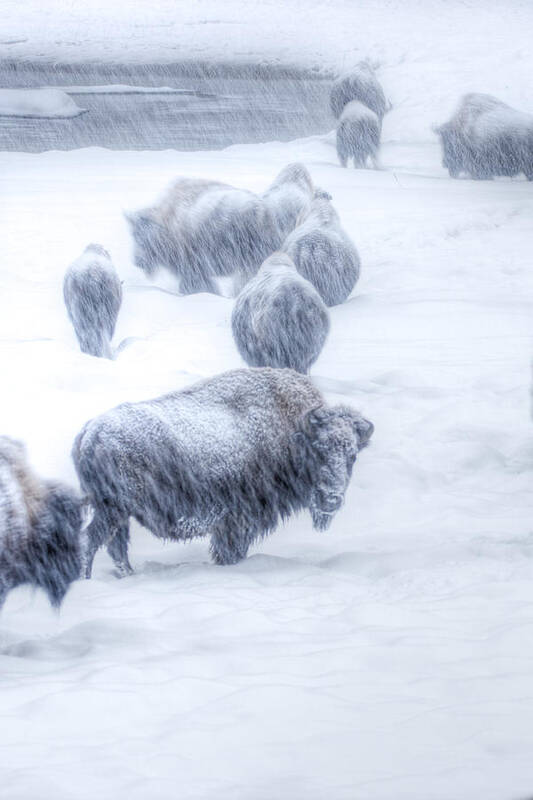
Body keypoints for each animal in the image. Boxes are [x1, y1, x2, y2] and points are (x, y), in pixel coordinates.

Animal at [71, 366, 374, 580]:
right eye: (318, 450)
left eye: (352, 455)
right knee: (90, 541)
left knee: (115, 547)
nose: (331, 498)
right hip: (112, 510)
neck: (290, 430)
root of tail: (90, 431)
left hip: (119, 513)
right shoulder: (238, 522)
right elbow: (231, 552)